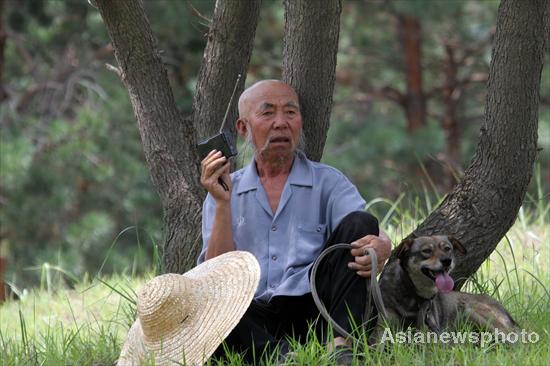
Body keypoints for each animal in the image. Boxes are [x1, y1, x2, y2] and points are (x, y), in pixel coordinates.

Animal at [376, 236, 520, 342]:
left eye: (447, 248)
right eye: (426, 251)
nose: (447, 260)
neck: (413, 294)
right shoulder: (381, 330)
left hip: (470, 311)